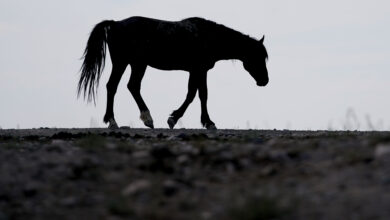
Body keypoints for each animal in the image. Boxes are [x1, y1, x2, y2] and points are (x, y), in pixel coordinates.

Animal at [78, 16, 270, 130]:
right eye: (258, 57)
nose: (265, 81)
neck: (208, 37)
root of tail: (115, 23)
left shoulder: (198, 71)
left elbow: (199, 94)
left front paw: (201, 121)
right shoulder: (198, 70)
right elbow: (195, 95)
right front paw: (179, 119)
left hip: (134, 64)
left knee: (126, 86)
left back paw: (133, 120)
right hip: (126, 63)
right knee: (118, 86)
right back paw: (123, 120)